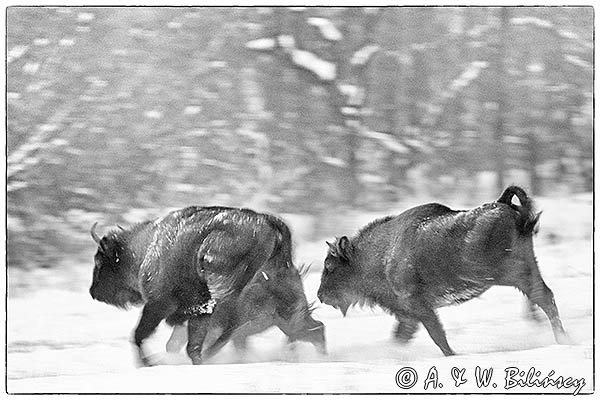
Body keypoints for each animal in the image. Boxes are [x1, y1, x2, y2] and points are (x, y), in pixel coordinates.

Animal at [88, 206, 324, 366]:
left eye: (100, 261)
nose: (93, 291)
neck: (144, 248)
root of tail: (265, 221)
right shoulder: (195, 312)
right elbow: (190, 344)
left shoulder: (158, 304)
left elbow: (139, 334)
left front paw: (149, 363)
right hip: (283, 309)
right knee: (312, 329)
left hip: (220, 281)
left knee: (234, 325)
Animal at [316, 186, 568, 354]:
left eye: (329, 266)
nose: (320, 295)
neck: (380, 253)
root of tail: (505, 206)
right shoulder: (408, 313)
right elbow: (401, 335)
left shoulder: (418, 305)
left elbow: (437, 334)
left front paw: (453, 355)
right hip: (526, 266)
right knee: (542, 296)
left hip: (505, 273)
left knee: (542, 296)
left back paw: (560, 338)